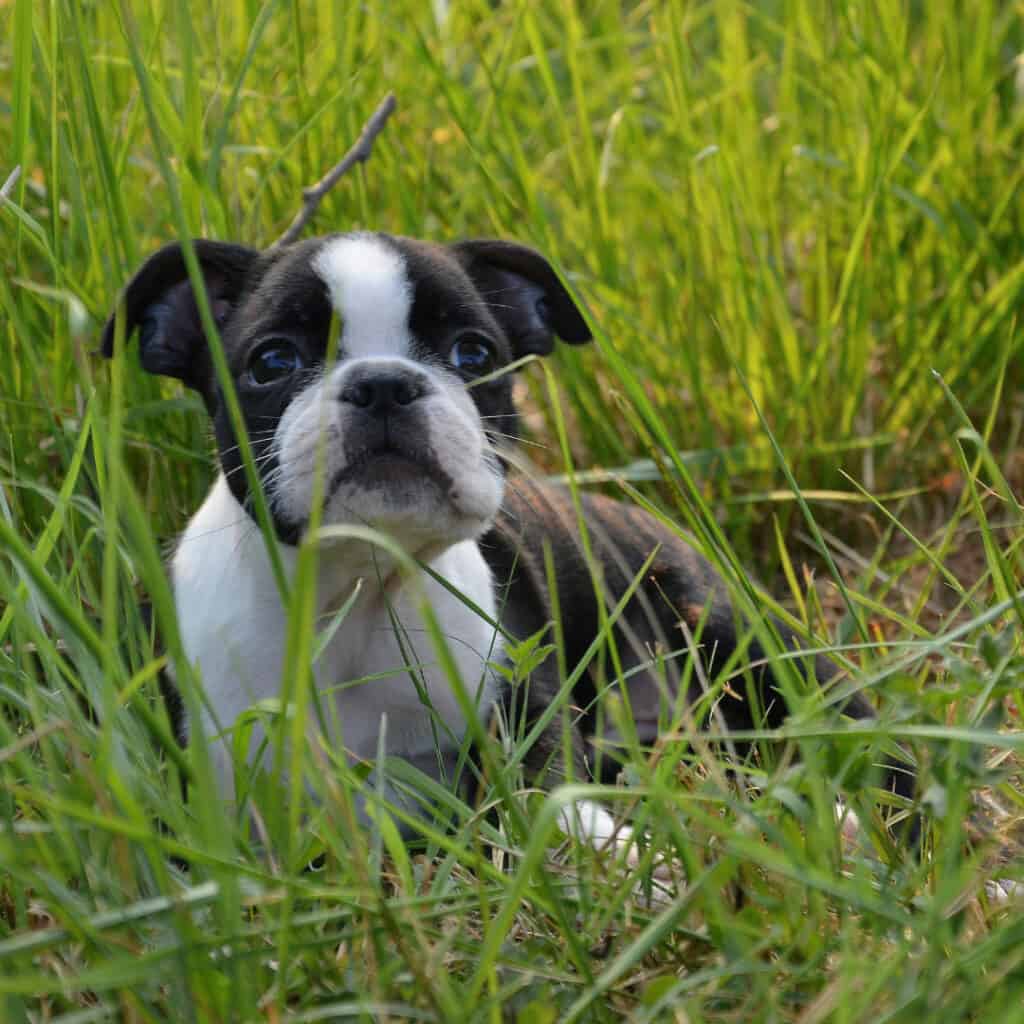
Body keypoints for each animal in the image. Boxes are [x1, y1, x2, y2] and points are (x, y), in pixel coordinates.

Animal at [99, 230, 917, 847]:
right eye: (272, 362)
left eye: (474, 354)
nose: (385, 383)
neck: (359, 591)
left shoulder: (524, 714)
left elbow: (555, 805)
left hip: (744, 639)